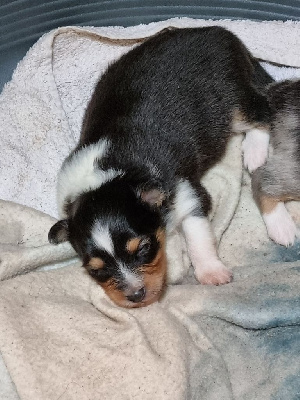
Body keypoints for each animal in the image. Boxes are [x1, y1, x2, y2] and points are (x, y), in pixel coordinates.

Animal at [48, 26, 274, 308]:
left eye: (144, 248)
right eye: (96, 270)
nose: (136, 296)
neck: (106, 176)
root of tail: (222, 32)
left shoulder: (187, 193)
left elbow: (198, 235)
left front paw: (212, 272)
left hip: (232, 101)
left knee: (264, 111)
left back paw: (255, 152)